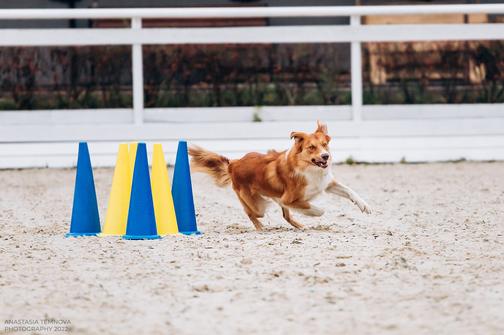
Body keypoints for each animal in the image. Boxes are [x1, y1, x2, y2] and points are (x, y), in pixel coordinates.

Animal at [188, 121, 370, 231]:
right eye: (311, 147)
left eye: (325, 145)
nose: (326, 156)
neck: (307, 167)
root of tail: (234, 163)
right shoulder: (289, 199)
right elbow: (315, 208)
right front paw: (318, 211)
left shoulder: (325, 184)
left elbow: (349, 190)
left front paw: (364, 206)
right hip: (258, 205)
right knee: (250, 213)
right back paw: (261, 228)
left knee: (285, 216)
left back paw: (300, 226)